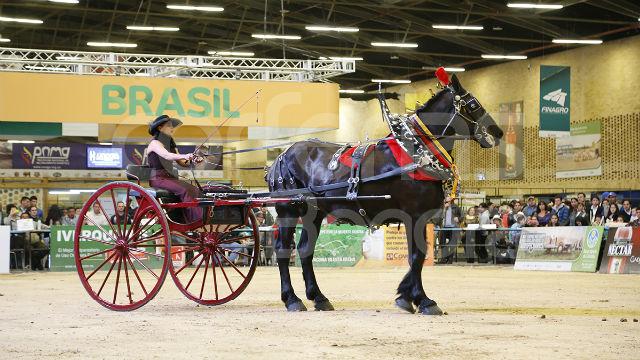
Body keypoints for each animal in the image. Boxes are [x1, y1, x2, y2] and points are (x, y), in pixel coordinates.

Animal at [264, 74, 500, 316]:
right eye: (474, 105)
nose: (498, 132)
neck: (417, 153)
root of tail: (282, 155)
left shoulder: (420, 218)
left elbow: (417, 256)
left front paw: (405, 295)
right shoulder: (415, 215)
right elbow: (417, 256)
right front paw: (423, 300)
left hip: (314, 213)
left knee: (305, 250)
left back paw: (319, 297)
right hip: (288, 210)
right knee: (283, 250)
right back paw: (292, 299)